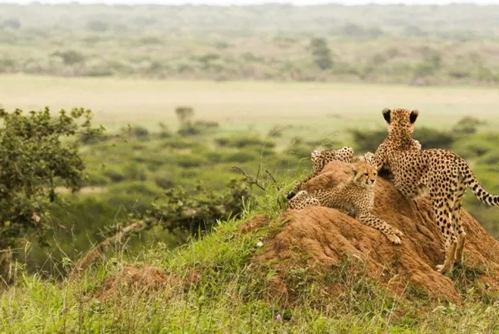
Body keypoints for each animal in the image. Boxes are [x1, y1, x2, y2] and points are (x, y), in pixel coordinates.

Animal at [374, 108, 499, 272]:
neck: (401, 132)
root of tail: (455, 156)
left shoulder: (375, 164)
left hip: (440, 202)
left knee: (451, 238)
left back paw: (444, 269)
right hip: (455, 201)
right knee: (461, 233)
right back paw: (457, 262)